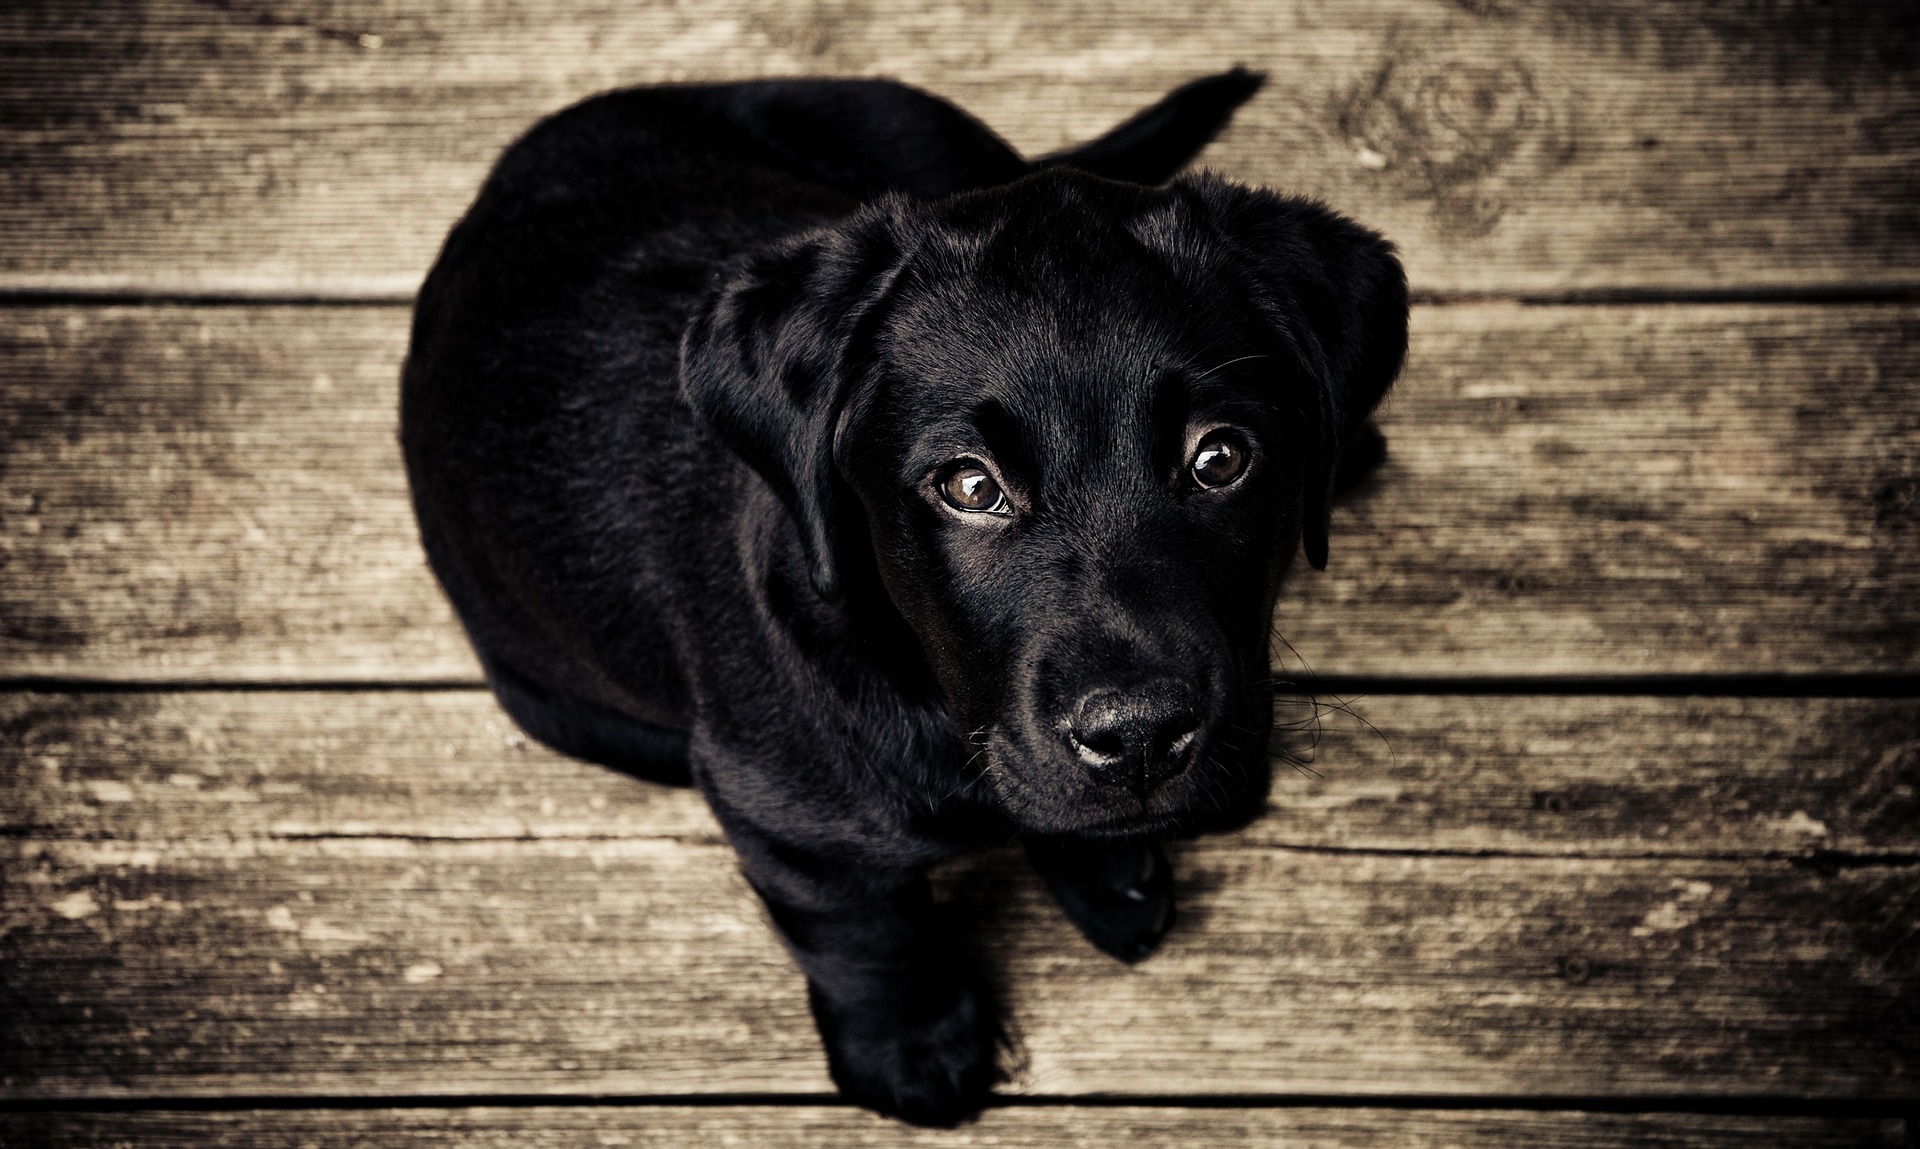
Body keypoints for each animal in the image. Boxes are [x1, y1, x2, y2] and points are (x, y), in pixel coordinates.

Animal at [397, 69, 1405, 1122]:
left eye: (1220, 459)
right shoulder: (782, 816)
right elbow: (865, 934)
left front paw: (1103, 865)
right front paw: (914, 1046)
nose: (1138, 738)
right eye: (968, 486)